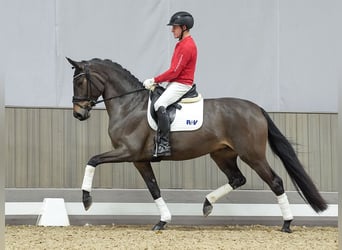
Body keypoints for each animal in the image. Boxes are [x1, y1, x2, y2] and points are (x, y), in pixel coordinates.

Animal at [66, 57, 326, 232]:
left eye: (79, 83)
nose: (78, 114)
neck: (129, 105)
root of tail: (256, 108)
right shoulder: (140, 160)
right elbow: (154, 189)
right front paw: (162, 222)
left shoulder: (127, 152)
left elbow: (92, 160)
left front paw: (86, 200)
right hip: (222, 154)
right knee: (237, 179)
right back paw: (207, 204)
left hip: (252, 155)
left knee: (275, 182)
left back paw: (287, 224)